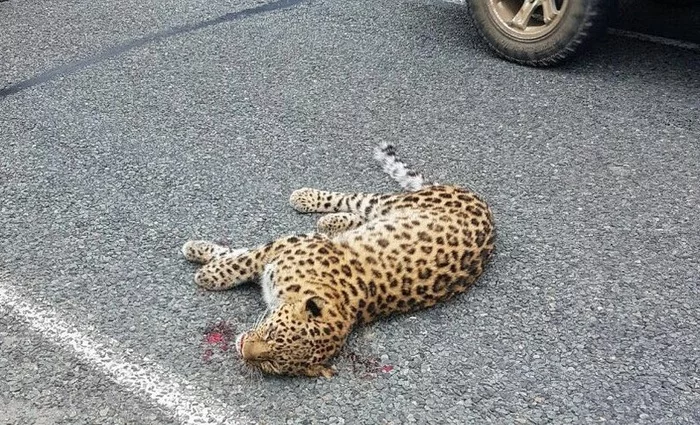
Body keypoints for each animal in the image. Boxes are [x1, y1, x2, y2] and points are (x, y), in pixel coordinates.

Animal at [181, 143, 494, 378]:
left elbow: (241, 256)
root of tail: (483, 205)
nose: (243, 347)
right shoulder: (288, 245)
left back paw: (330, 222)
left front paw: (205, 262)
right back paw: (307, 199)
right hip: (395, 204)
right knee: (358, 199)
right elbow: (242, 259)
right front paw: (207, 266)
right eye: (270, 334)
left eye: (271, 363)